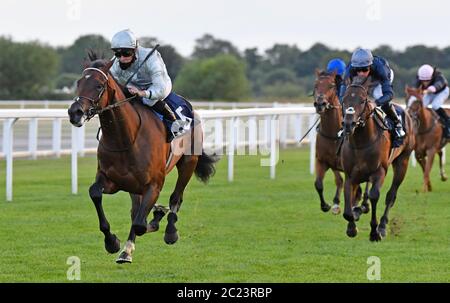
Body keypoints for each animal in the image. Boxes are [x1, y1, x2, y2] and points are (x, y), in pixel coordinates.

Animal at [66, 52, 218, 264]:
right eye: (79, 82)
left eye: (99, 85)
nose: (75, 112)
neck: (125, 139)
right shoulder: (112, 180)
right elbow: (96, 193)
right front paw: (112, 242)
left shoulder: (154, 184)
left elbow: (140, 223)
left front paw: (157, 219)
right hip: (135, 186)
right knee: (136, 210)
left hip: (188, 163)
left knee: (175, 198)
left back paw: (170, 231)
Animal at [312, 69, 370, 216]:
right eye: (316, 85)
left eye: (331, 85)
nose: (320, 104)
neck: (333, 134)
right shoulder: (324, 161)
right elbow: (320, 183)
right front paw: (329, 205)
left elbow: (353, 188)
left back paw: (363, 204)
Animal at [342, 76, 414, 242]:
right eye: (344, 99)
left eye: (362, 100)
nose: (348, 124)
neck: (361, 142)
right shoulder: (350, 174)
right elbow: (348, 203)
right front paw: (352, 226)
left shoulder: (379, 171)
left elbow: (374, 195)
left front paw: (374, 232)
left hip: (403, 161)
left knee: (391, 196)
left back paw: (382, 226)